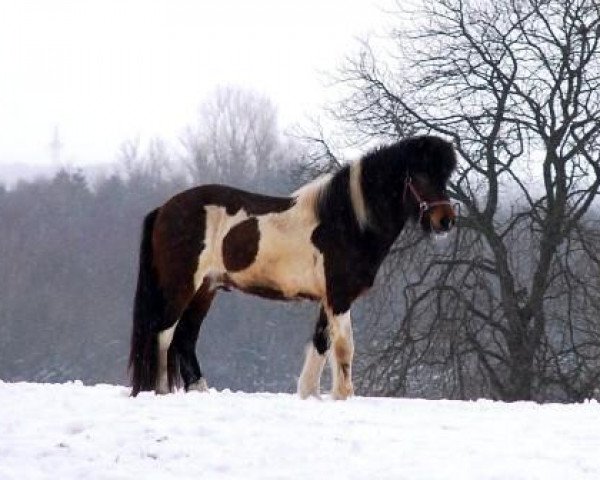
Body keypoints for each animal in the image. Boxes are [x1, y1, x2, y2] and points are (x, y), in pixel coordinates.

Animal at [129, 134, 458, 398]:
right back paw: (160, 392)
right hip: (181, 287)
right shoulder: (339, 298)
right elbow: (344, 348)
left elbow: (321, 345)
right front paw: (344, 396)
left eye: (444, 177)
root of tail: (164, 209)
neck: (346, 222)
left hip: (205, 290)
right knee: (164, 335)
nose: (446, 221)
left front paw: (311, 395)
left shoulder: (328, 300)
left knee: (185, 340)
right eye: (419, 175)